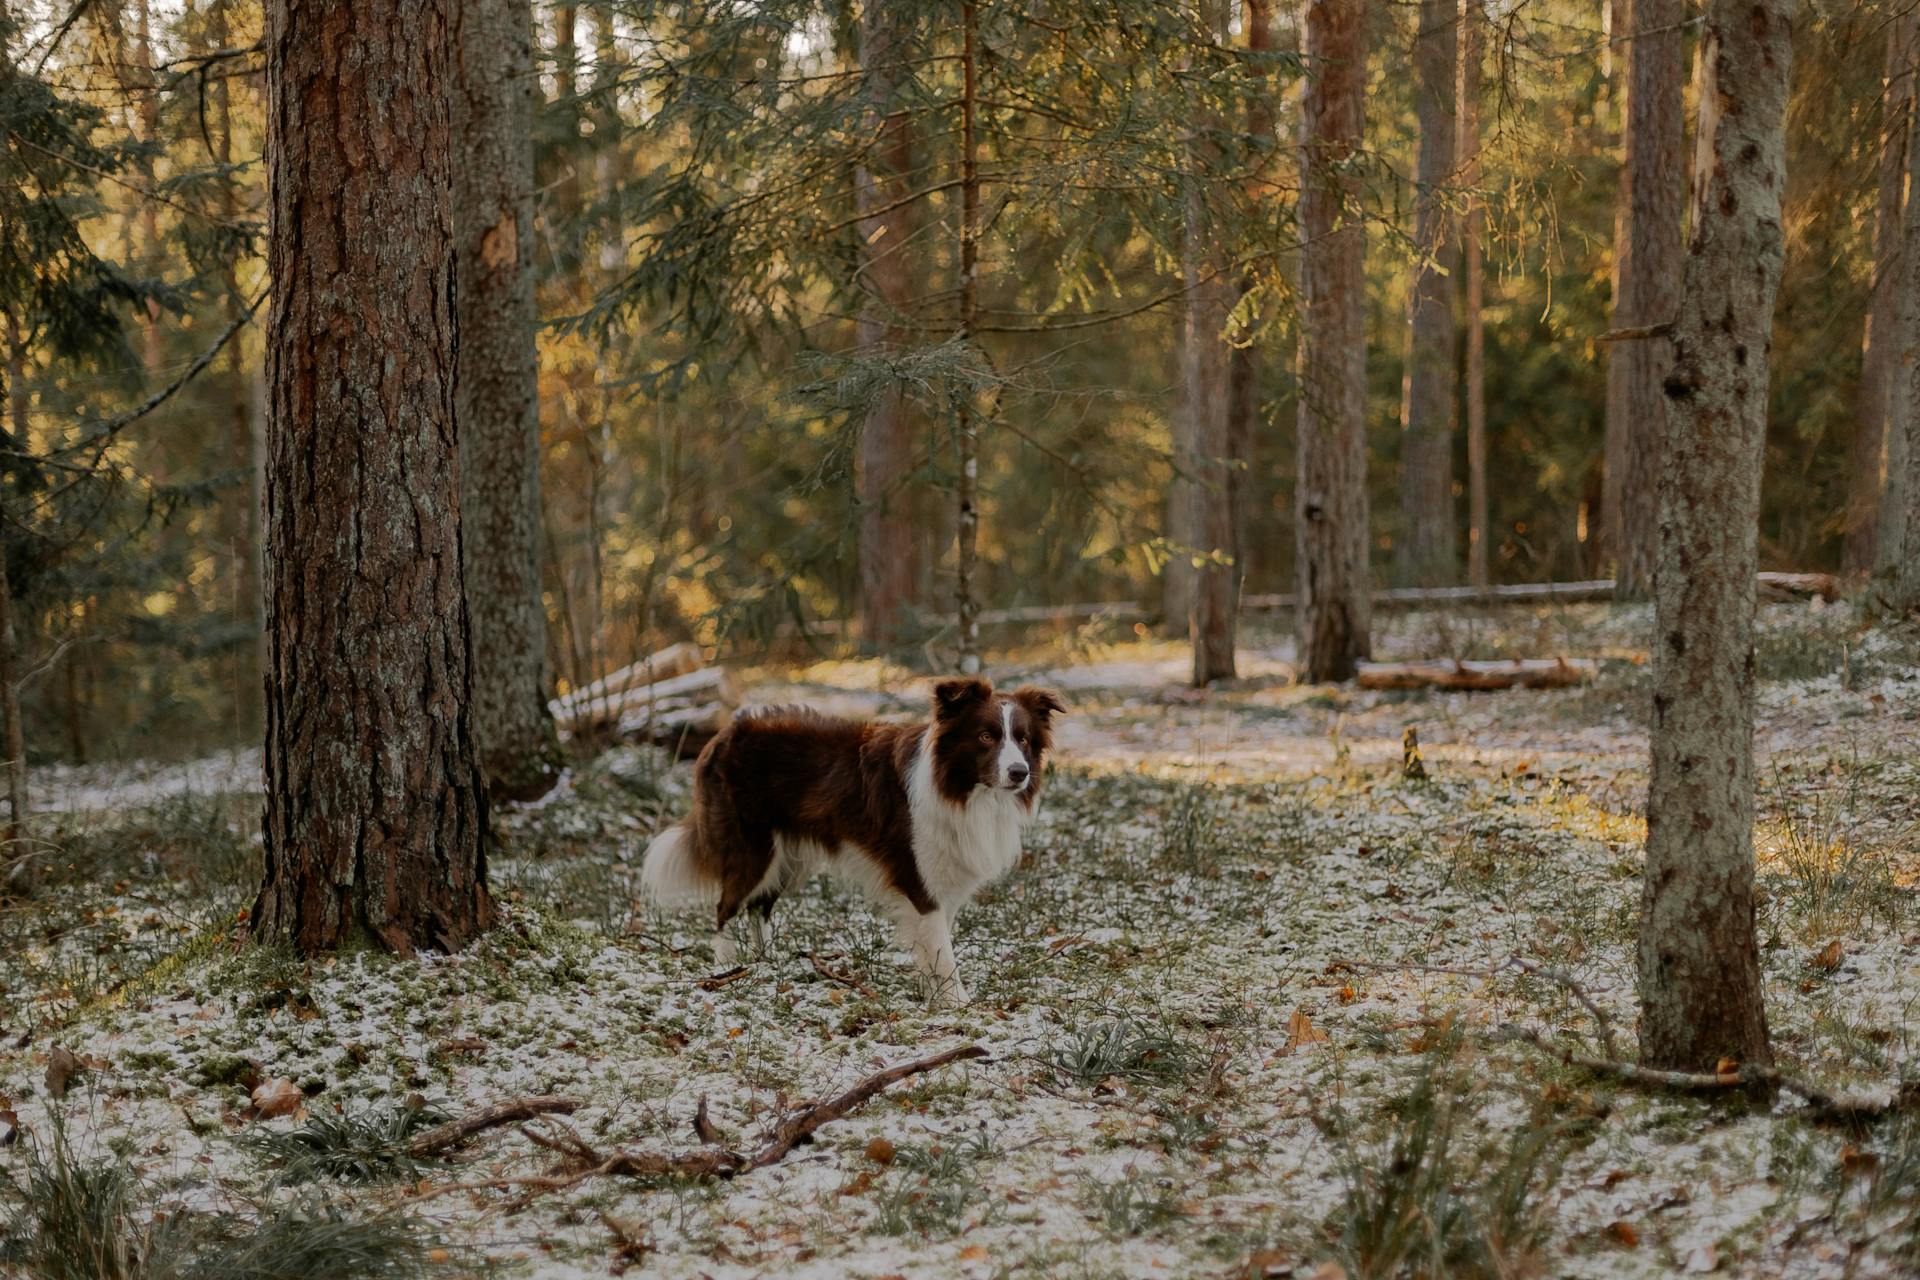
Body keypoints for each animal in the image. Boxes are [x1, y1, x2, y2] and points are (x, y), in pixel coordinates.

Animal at [641, 675, 1067, 1005]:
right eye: (985, 736)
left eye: (1024, 740)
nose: (1019, 773)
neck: (964, 789)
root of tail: (724, 733)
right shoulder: (919, 877)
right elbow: (942, 951)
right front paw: (958, 1004)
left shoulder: (944, 880)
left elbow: (934, 945)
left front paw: (934, 997)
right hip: (752, 849)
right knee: (725, 907)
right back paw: (729, 966)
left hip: (788, 858)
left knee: (757, 907)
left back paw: (764, 963)